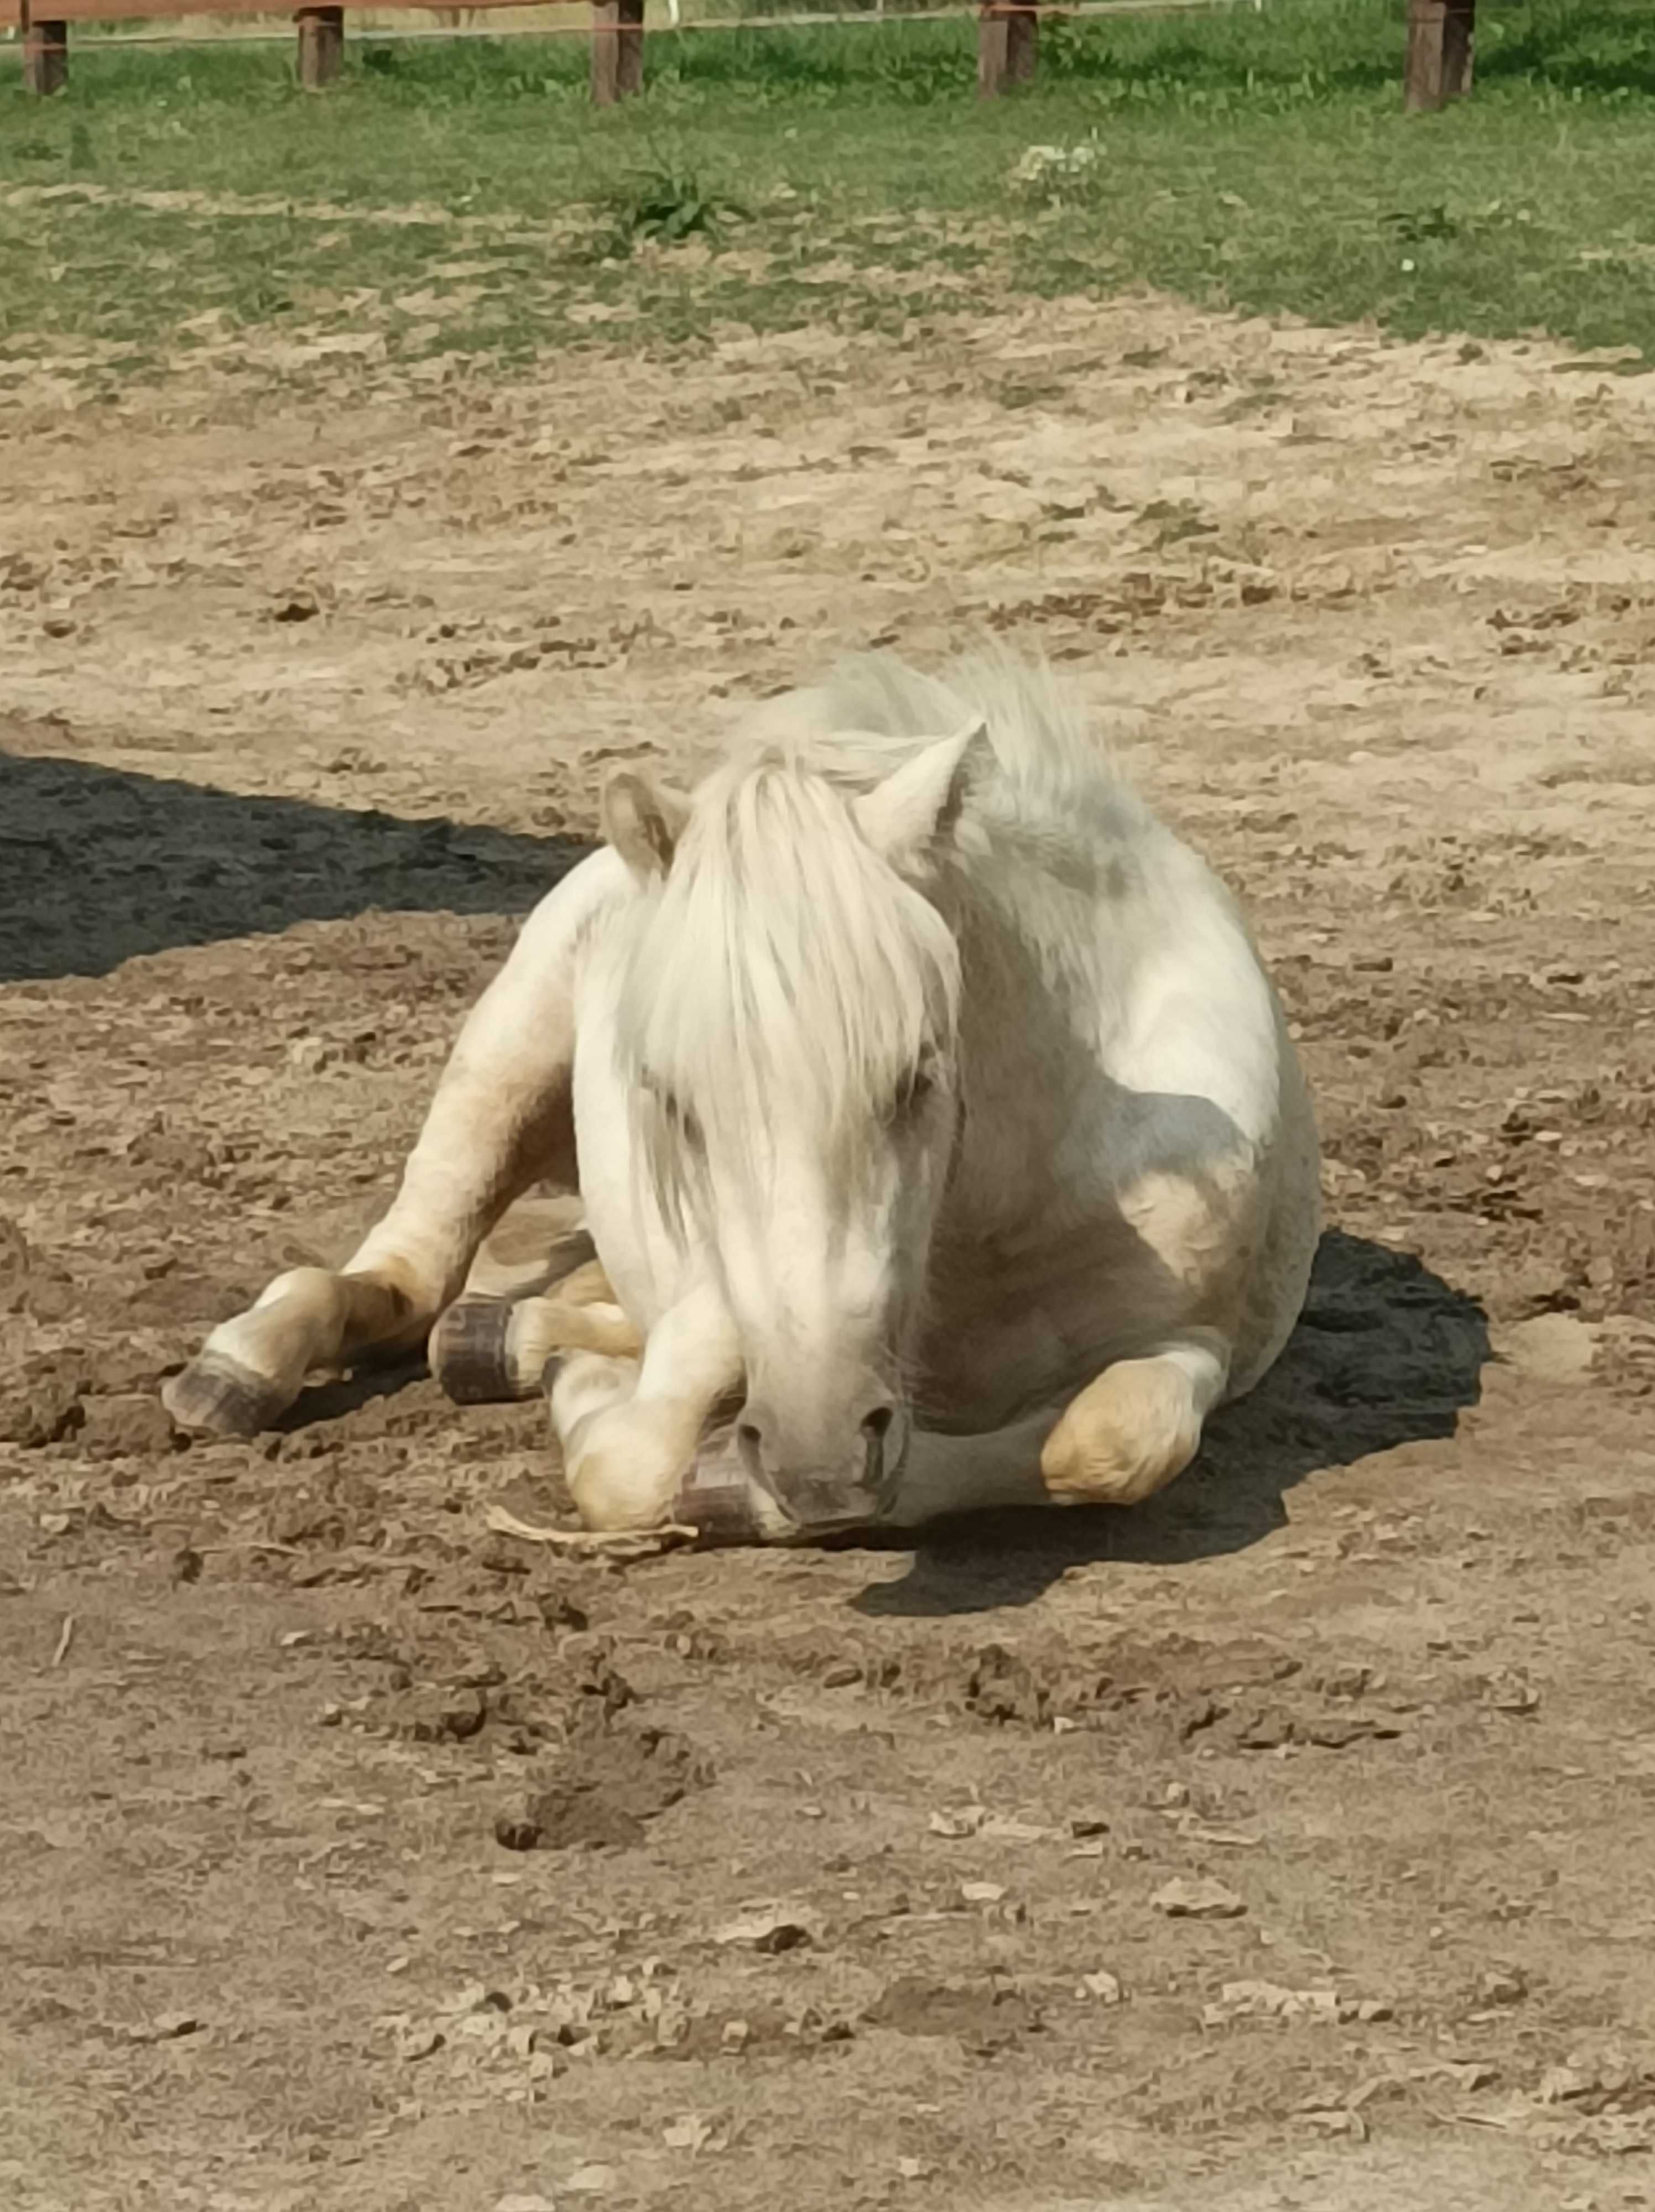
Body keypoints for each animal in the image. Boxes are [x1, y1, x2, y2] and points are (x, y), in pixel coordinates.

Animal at [165, 655, 1319, 1548]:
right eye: (673, 1101)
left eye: (919, 1072)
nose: (813, 1452)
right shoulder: (726, 1296)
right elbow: (631, 1464)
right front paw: (608, 1412)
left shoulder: (1190, 1346)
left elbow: (1108, 1443)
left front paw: (715, 1472)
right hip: (502, 1060)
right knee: (407, 1270)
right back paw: (245, 1367)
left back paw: (505, 1340)